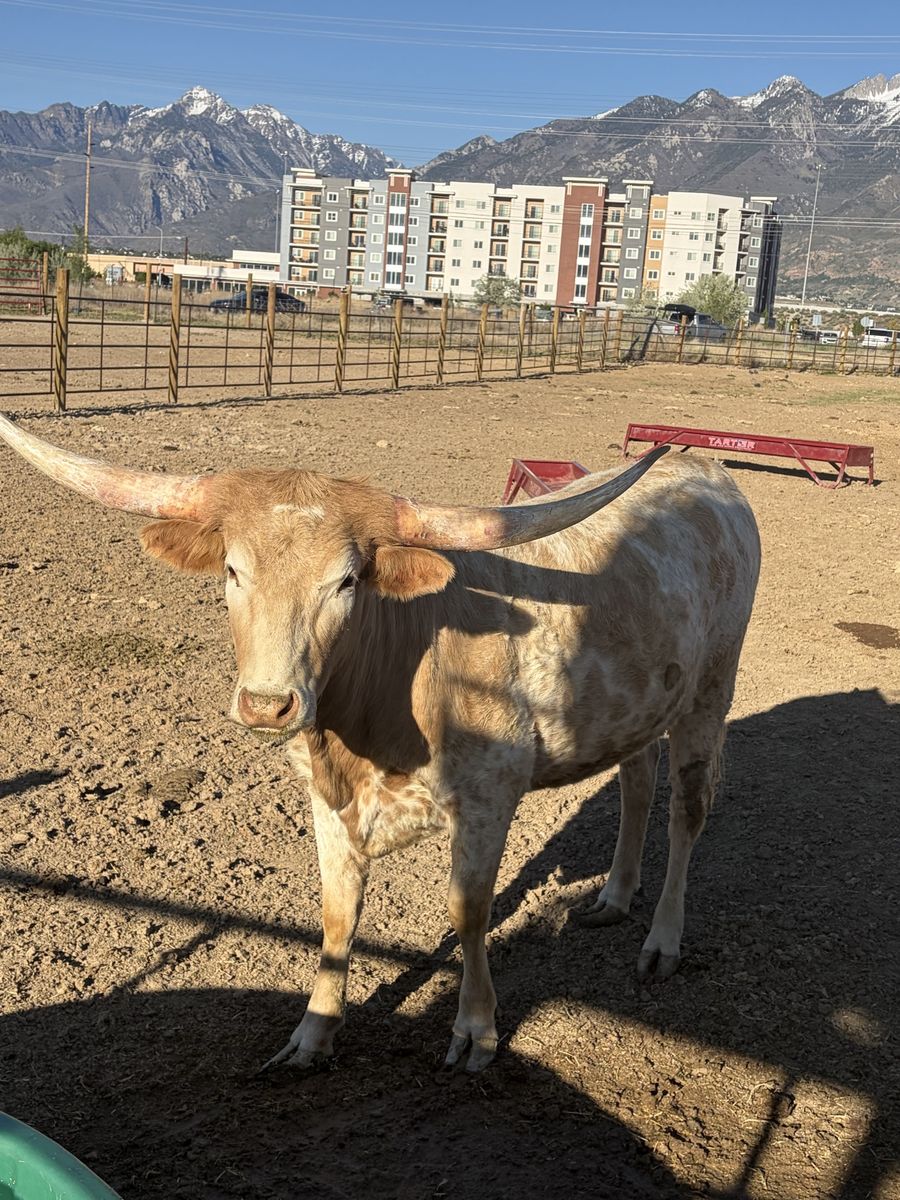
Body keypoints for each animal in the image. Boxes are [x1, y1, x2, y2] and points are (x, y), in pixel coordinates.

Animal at [0, 412, 760, 1074]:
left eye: (346, 580)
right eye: (233, 571)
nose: (268, 705)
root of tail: (705, 471)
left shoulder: (487, 797)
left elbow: (468, 912)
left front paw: (475, 1030)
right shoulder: (326, 800)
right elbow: (337, 913)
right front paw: (313, 1033)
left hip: (710, 692)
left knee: (687, 811)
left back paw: (661, 940)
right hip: (642, 703)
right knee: (636, 782)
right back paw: (614, 896)